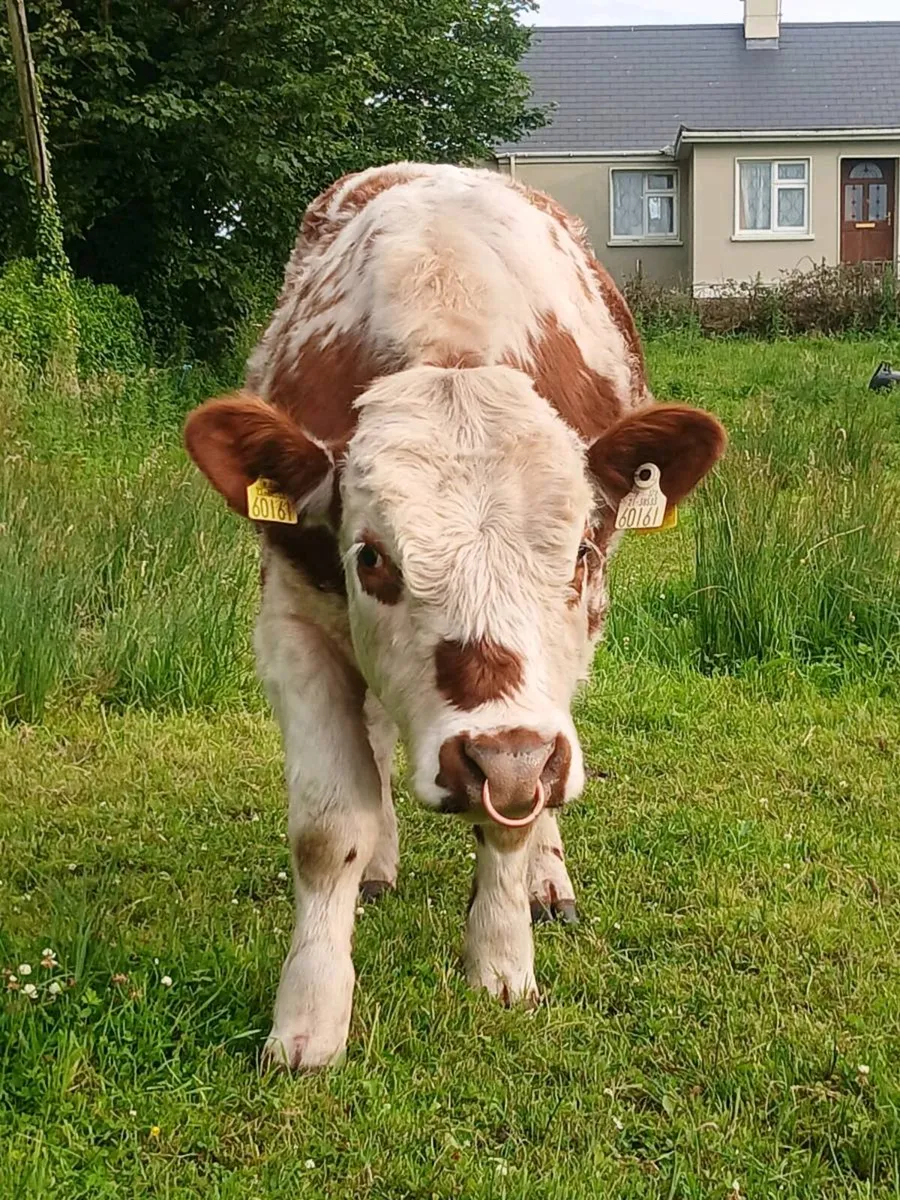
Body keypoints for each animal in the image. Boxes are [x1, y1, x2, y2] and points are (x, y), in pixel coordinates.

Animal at [184, 162, 725, 1070]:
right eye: (371, 558)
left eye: (581, 551)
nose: (500, 757)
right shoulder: (292, 620)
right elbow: (328, 828)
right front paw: (309, 1016)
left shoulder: (547, 696)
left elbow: (515, 817)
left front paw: (503, 961)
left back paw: (547, 878)